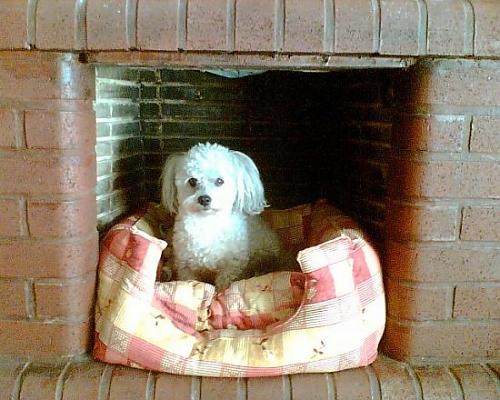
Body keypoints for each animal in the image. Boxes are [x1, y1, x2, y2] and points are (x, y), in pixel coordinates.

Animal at [160, 142, 290, 290]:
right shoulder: (185, 265)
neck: (207, 222)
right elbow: (189, 280)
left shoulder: (232, 265)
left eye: (219, 181)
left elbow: (225, 281)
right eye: (192, 181)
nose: (204, 199)